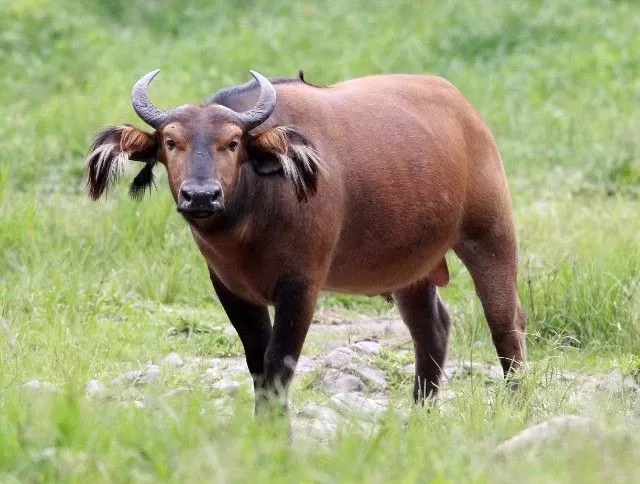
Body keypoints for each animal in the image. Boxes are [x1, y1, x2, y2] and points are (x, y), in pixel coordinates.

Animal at [86, 69, 526, 415]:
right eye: (171, 142)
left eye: (232, 142)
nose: (201, 196)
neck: (250, 223)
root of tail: (467, 113)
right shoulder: (229, 287)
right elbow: (257, 362)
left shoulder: (301, 285)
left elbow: (279, 362)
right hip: (411, 271)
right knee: (432, 330)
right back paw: (419, 415)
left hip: (491, 235)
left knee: (506, 323)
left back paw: (515, 403)